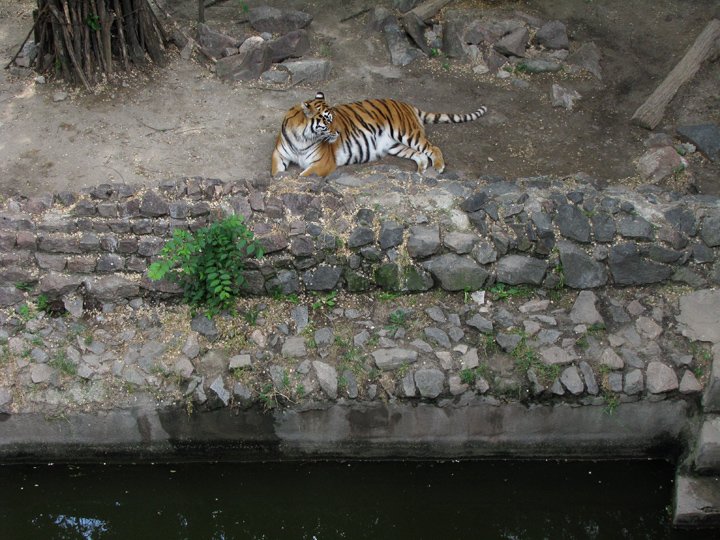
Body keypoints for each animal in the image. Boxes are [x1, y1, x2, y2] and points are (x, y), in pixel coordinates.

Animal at [272, 92, 490, 177]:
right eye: (327, 120)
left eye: (333, 118)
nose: (339, 132)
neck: (301, 138)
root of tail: (406, 104)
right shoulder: (278, 155)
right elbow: (276, 172)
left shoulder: (322, 163)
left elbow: (303, 175)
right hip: (395, 145)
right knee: (419, 155)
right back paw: (421, 171)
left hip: (407, 134)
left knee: (432, 147)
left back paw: (438, 166)